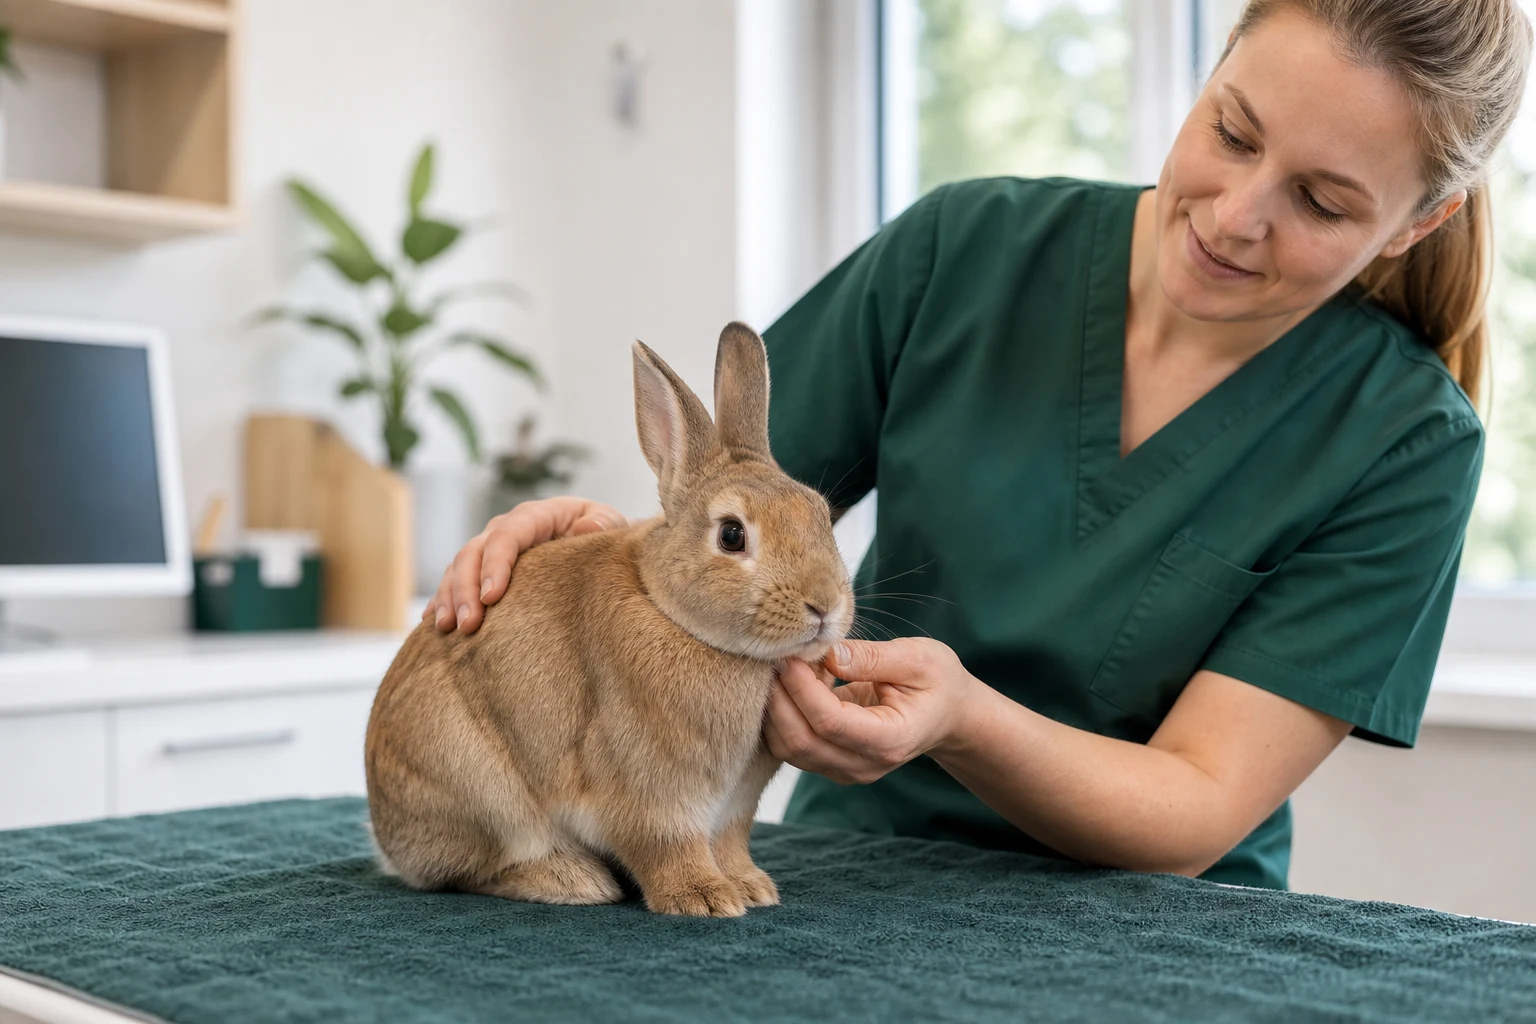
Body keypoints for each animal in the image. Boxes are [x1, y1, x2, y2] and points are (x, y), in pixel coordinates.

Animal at [364, 321, 854, 917]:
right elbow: (665, 844)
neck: (671, 611)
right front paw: (704, 898)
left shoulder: (734, 807)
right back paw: (572, 881)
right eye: (732, 535)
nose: (825, 605)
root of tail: (388, 839)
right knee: (472, 869)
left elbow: (730, 844)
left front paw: (751, 887)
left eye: (821, 514)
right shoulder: (648, 795)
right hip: (479, 792)